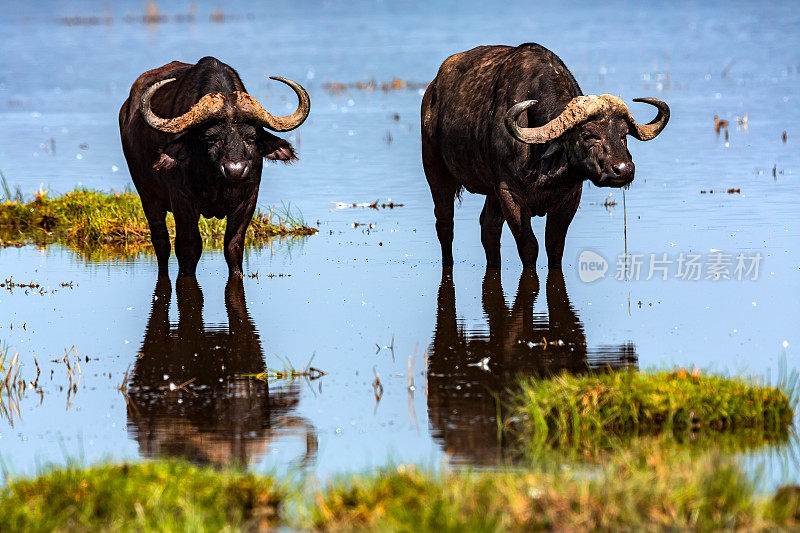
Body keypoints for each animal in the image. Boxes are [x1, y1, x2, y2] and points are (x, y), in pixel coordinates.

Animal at [120, 56, 310, 276]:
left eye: (251, 137)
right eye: (210, 137)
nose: (235, 170)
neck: (216, 183)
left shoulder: (248, 200)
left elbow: (233, 246)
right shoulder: (181, 201)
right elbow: (189, 247)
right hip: (148, 197)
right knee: (161, 241)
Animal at [422, 42, 672, 268]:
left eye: (623, 135)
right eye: (588, 135)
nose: (623, 170)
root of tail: (432, 91)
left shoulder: (569, 195)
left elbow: (554, 245)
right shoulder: (509, 193)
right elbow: (529, 247)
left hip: (491, 192)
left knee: (488, 227)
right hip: (436, 171)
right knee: (445, 223)